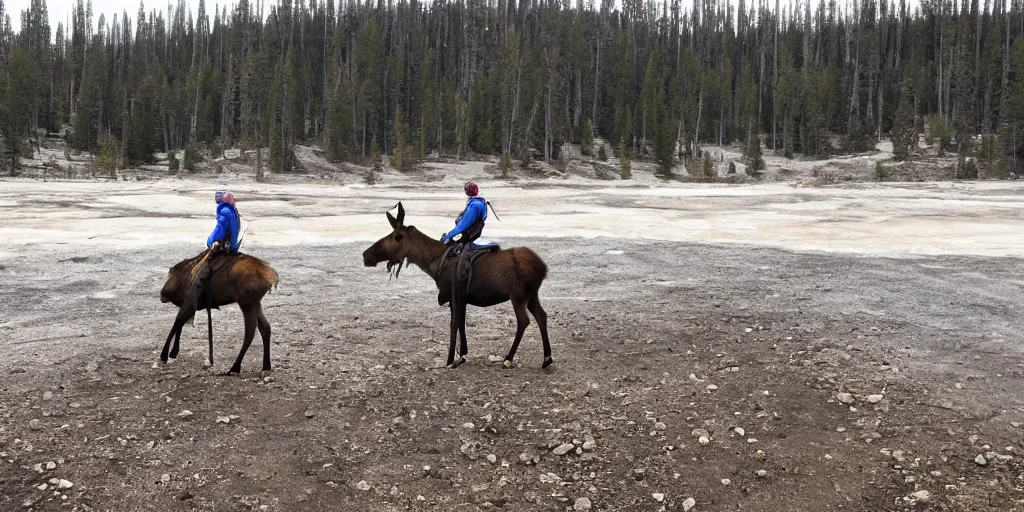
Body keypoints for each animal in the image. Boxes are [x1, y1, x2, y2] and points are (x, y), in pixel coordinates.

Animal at [362, 200, 552, 368]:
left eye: (397, 236)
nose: (366, 255)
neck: (433, 264)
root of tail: (543, 268)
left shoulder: (452, 295)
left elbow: (453, 324)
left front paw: (449, 360)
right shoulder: (462, 298)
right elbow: (461, 322)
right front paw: (462, 355)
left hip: (518, 295)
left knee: (524, 321)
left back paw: (509, 358)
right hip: (532, 295)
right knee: (542, 316)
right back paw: (547, 358)